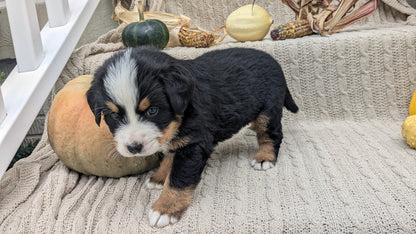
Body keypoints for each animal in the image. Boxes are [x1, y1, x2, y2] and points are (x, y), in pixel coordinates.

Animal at [86, 46, 298, 228]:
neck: (183, 110)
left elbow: (179, 180)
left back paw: (265, 158)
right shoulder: (177, 140)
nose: (134, 147)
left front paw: (165, 209)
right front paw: (159, 178)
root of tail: (274, 61)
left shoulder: (194, 144)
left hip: (268, 110)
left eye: (152, 111)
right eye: (113, 116)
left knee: (271, 134)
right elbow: (169, 159)